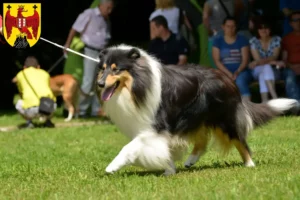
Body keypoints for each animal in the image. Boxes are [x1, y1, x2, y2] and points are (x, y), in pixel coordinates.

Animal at [96, 44, 298, 175]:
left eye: (116, 69)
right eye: (103, 68)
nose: (99, 84)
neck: (138, 84)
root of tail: (229, 79)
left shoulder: (155, 127)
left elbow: (130, 147)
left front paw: (112, 167)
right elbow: (164, 150)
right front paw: (170, 170)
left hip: (224, 119)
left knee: (239, 140)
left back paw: (249, 164)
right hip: (196, 118)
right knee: (202, 142)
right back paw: (189, 161)